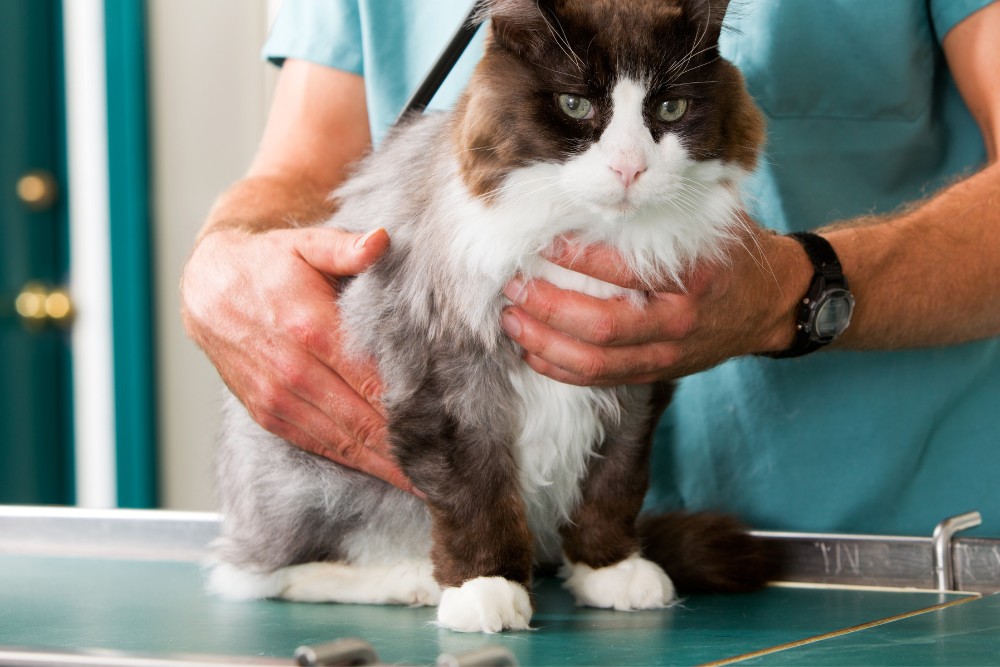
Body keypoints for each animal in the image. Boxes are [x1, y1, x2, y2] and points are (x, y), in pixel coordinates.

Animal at [209, 0, 772, 636]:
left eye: (670, 108)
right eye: (574, 105)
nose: (629, 168)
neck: (587, 234)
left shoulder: (636, 380)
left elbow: (614, 483)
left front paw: (609, 568)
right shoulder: (449, 379)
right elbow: (477, 495)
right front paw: (486, 589)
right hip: (313, 479)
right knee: (262, 573)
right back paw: (409, 581)